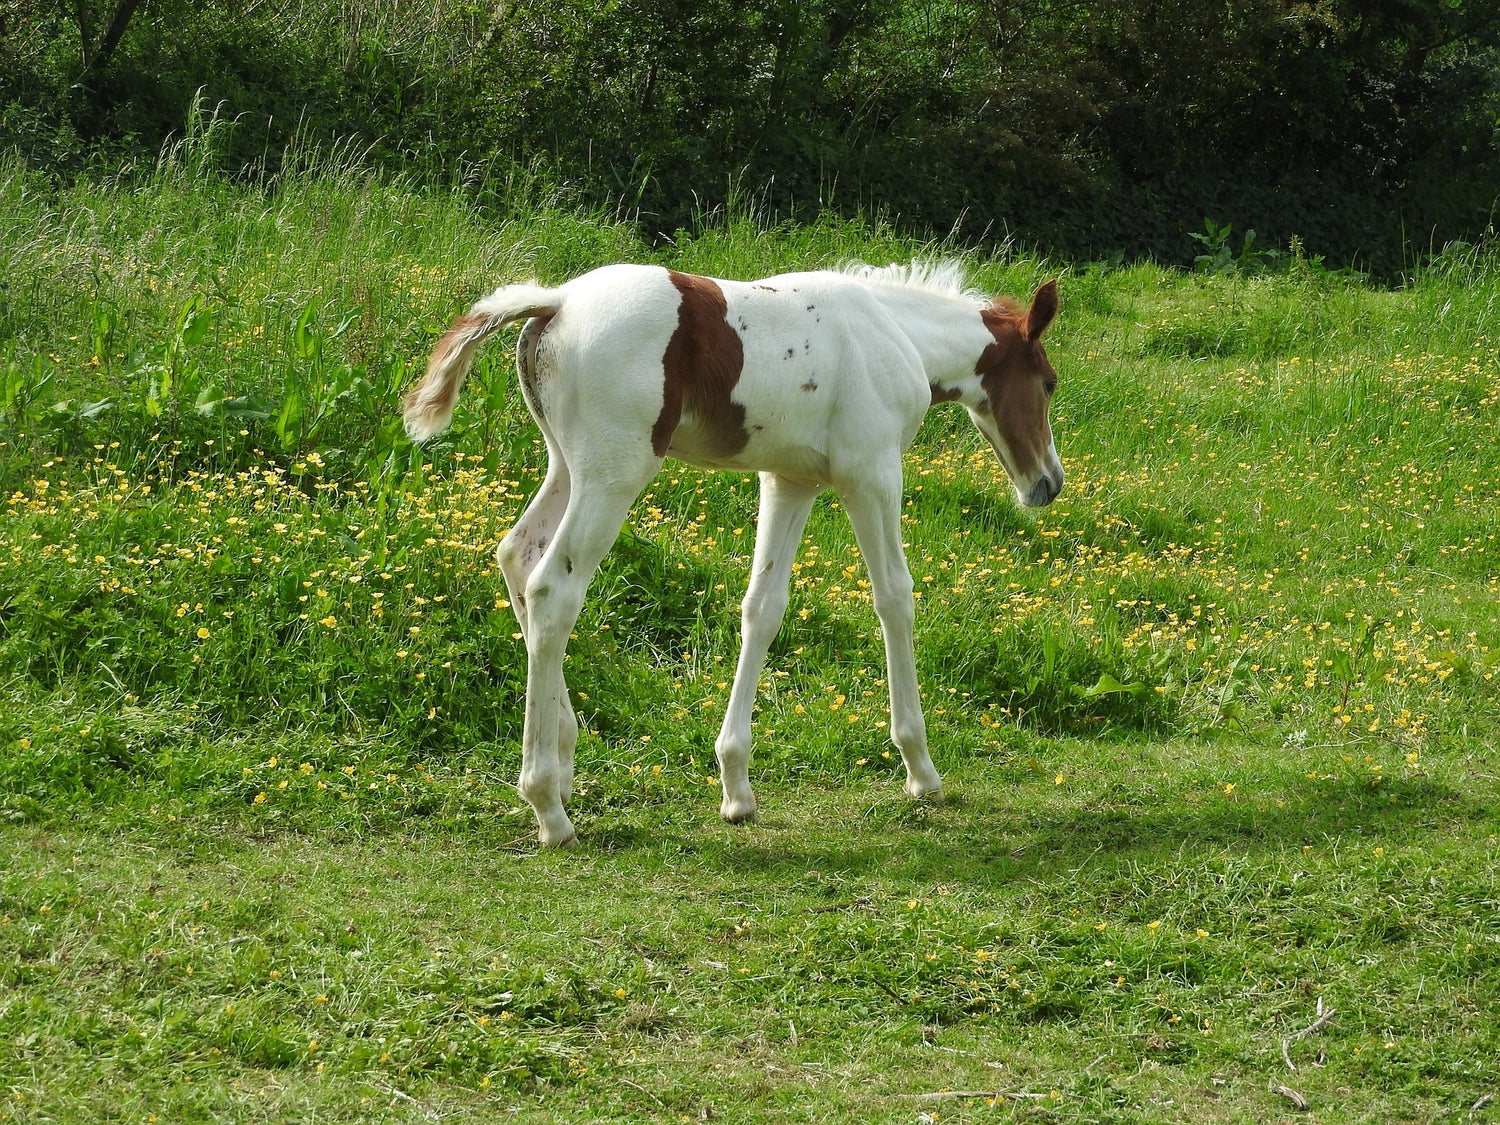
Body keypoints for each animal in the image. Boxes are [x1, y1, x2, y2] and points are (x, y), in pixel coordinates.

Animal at [403, 261, 1062, 847]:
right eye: (1048, 383)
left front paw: (737, 787)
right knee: (552, 588)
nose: (1048, 484)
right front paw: (921, 769)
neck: (895, 330)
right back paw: (548, 807)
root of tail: (557, 301)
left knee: (517, 556)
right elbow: (894, 599)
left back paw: (564, 765)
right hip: (614, 475)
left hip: (567, 466)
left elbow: (763, 607)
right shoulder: (871, 474)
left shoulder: (790, 481)